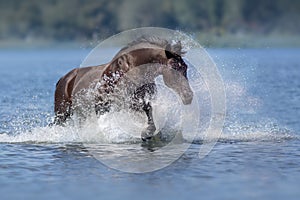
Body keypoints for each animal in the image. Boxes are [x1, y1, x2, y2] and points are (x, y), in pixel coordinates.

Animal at [54, 36, 193, 141]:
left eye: (185, 67)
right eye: (174, 66)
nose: (188, 96)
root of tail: (63, 79)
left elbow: (149, 109)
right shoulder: (121, 104)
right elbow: (147, 110)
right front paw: (146, 133)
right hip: (62, 113)